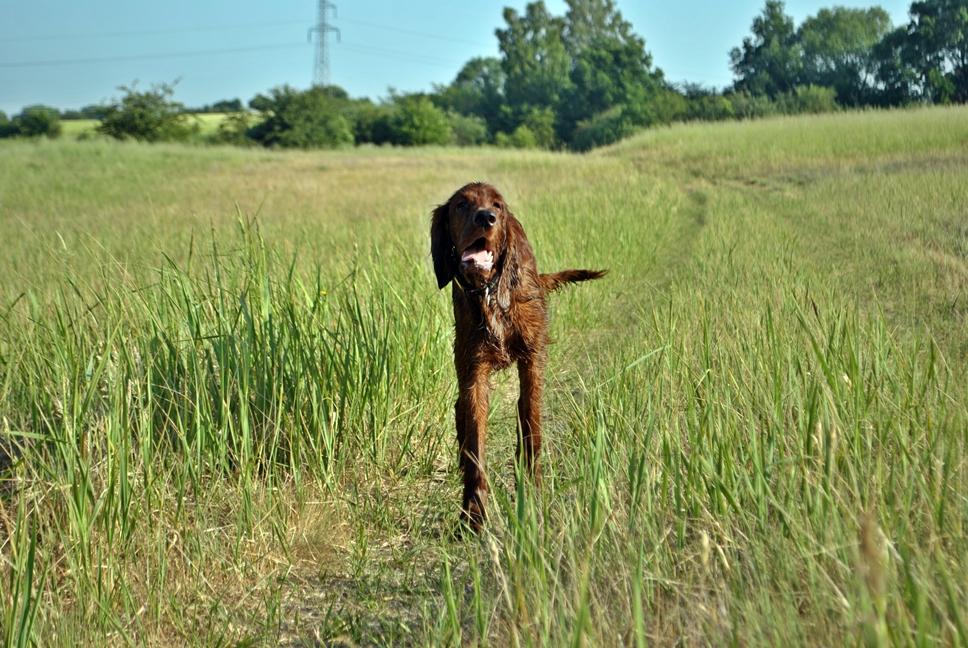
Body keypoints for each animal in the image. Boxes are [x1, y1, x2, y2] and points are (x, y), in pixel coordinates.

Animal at [431, 182, 605, 531]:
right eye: (460, 205)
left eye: (497, 204)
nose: (486, 217)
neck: (490, 292)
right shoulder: (474, 370)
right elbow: (475, 439)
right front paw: (474, 514)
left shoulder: (532, 359)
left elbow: (530, 421)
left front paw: (533, 494)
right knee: (460, 412)